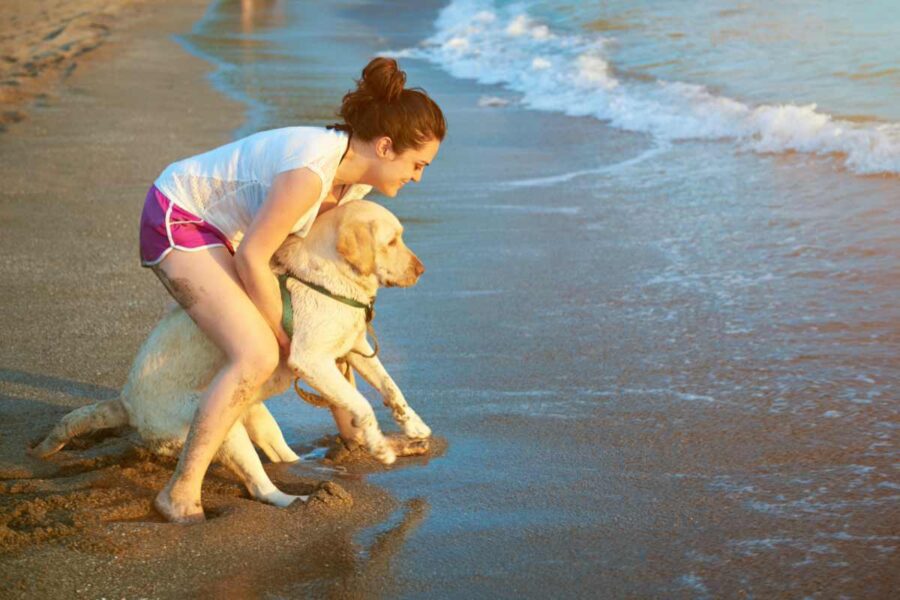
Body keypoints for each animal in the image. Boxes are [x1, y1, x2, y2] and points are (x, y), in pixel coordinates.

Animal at [31, 200, 432, 506]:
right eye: (392, 241)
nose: (422, 269)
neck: (332, 278)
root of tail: (126, 401)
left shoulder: (355, 347)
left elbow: (391, 388)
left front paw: (413, 426)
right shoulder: (312, 360)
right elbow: (362, 405)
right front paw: (379, 447)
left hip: (257, 419)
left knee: (281, 457)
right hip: (220, 428)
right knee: (259, 486)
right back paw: (299, 500)